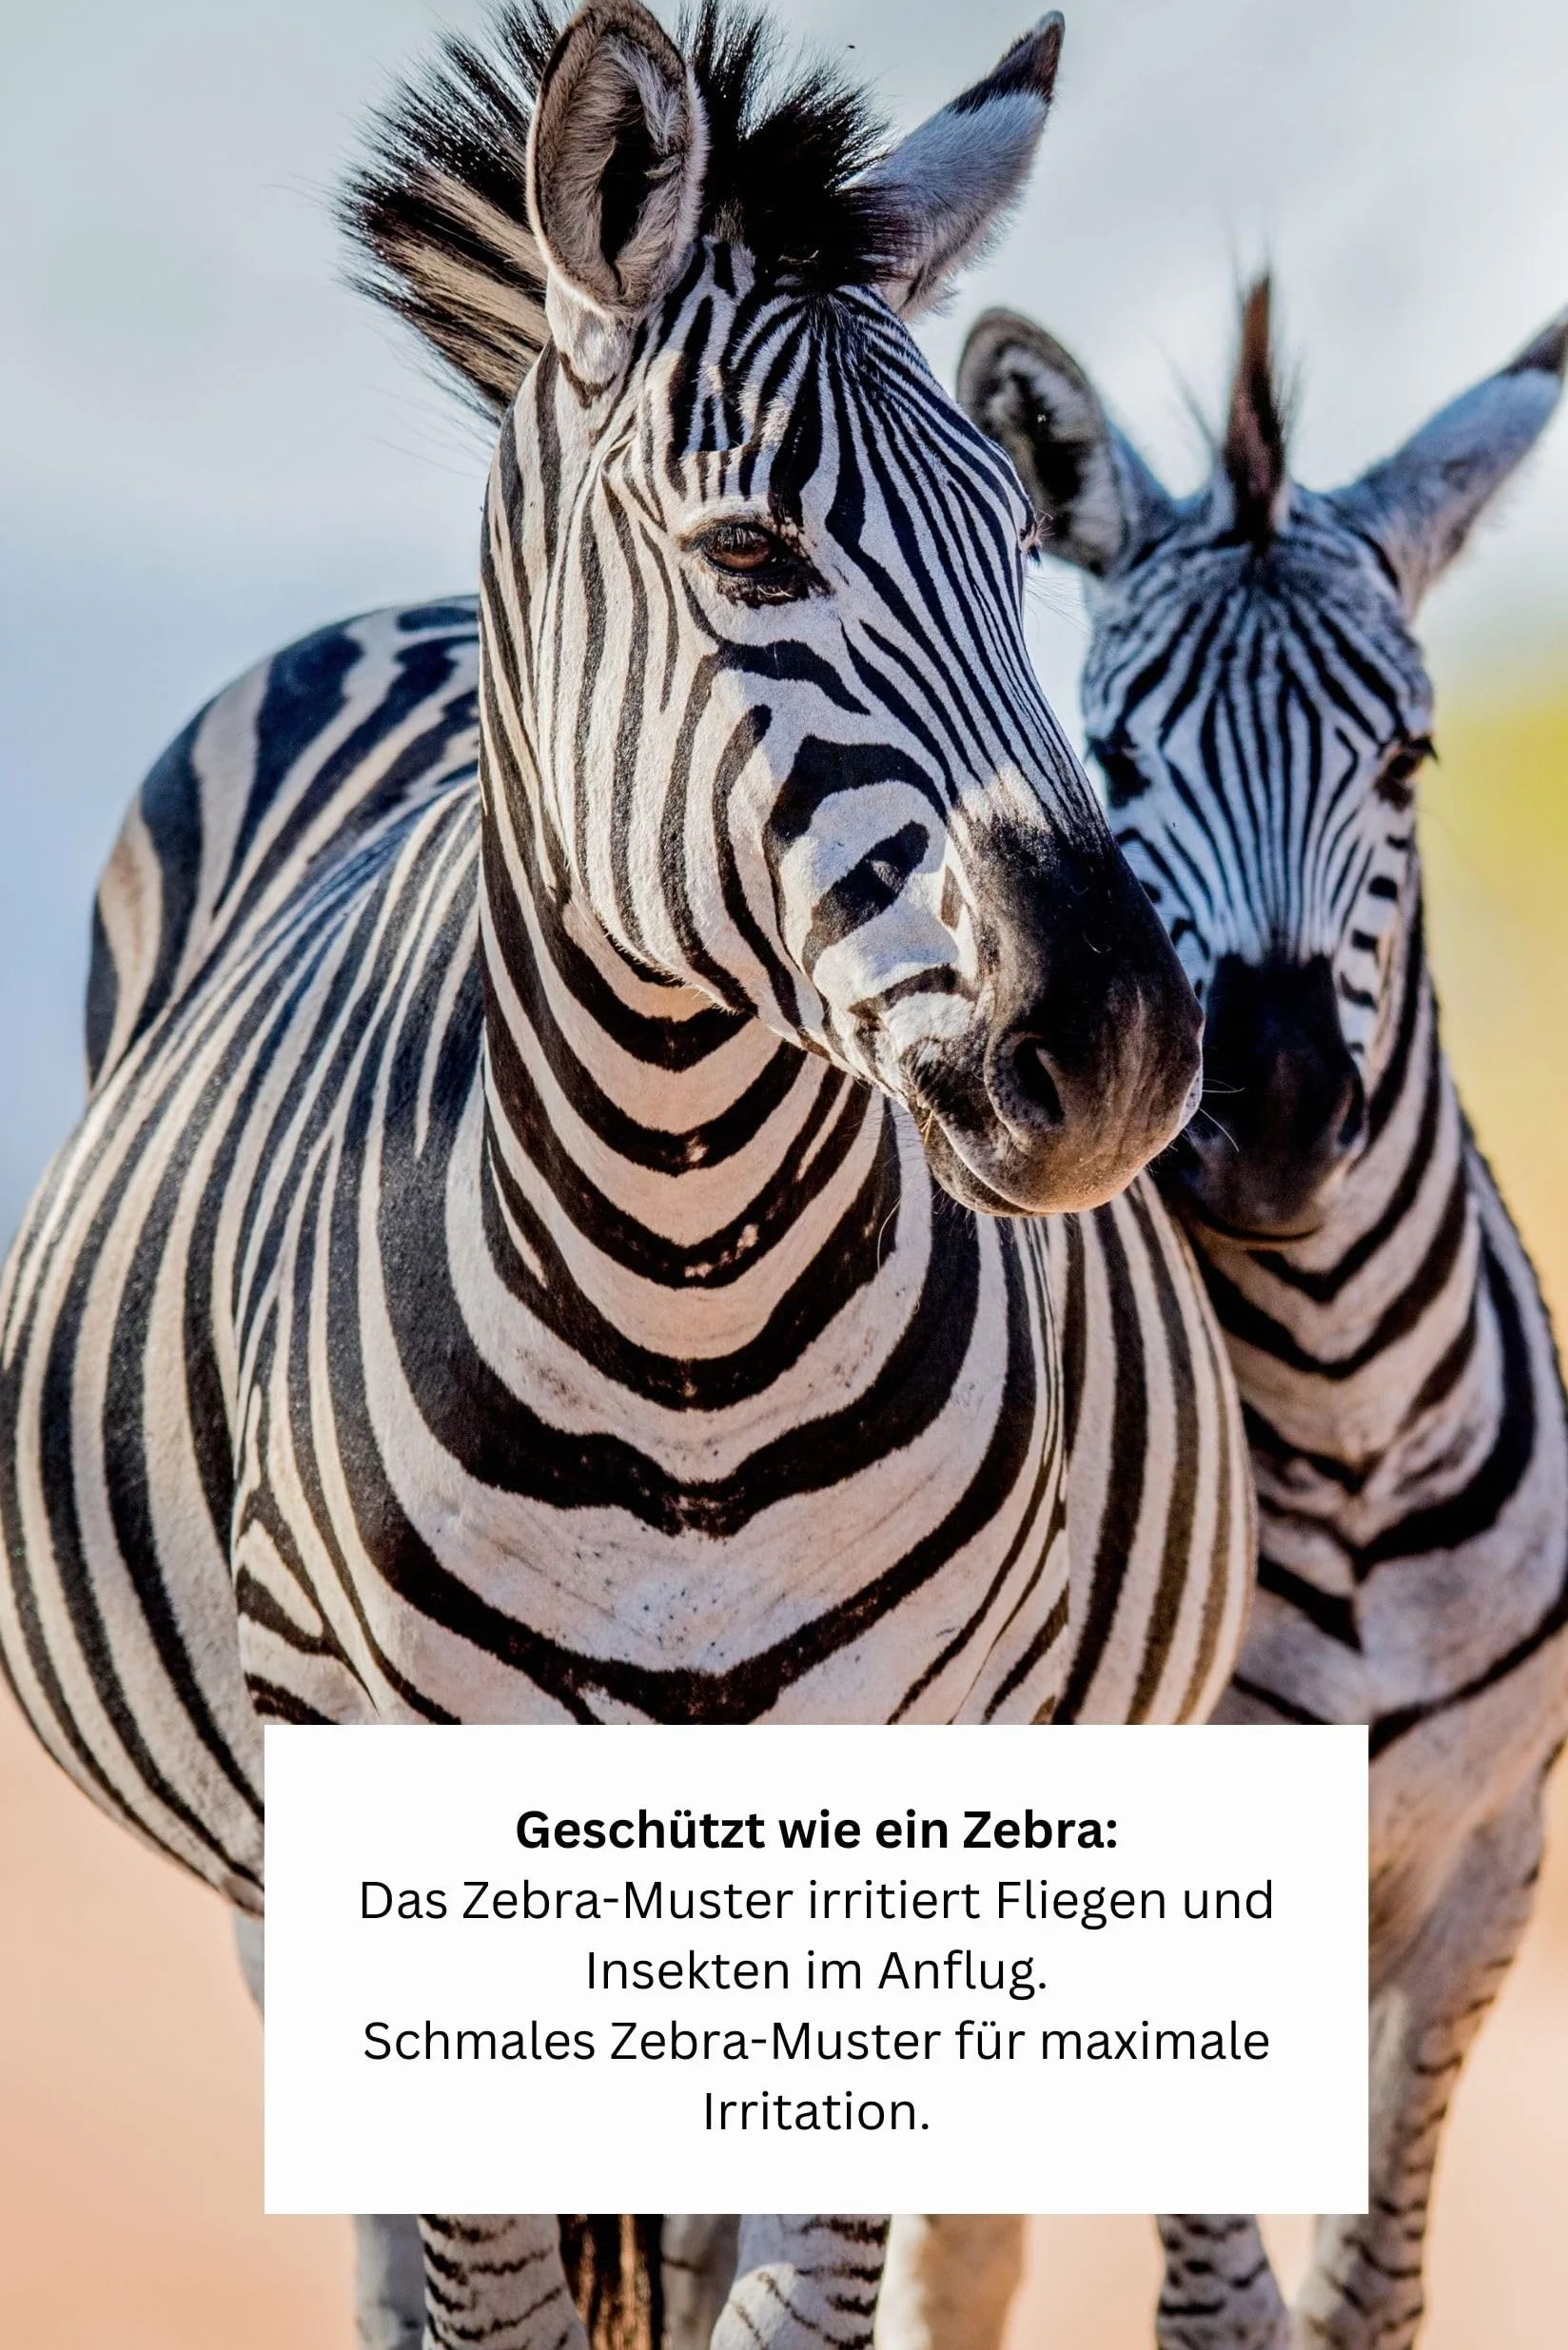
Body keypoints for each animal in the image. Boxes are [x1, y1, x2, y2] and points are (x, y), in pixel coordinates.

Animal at [957, 280, 1568, 2349]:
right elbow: (1214, 2308)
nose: (1277, 1110)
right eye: (1112, 760)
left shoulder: (1483, 1868)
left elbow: (1364, 2293)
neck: (1349, 1431)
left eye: (1406, 767)